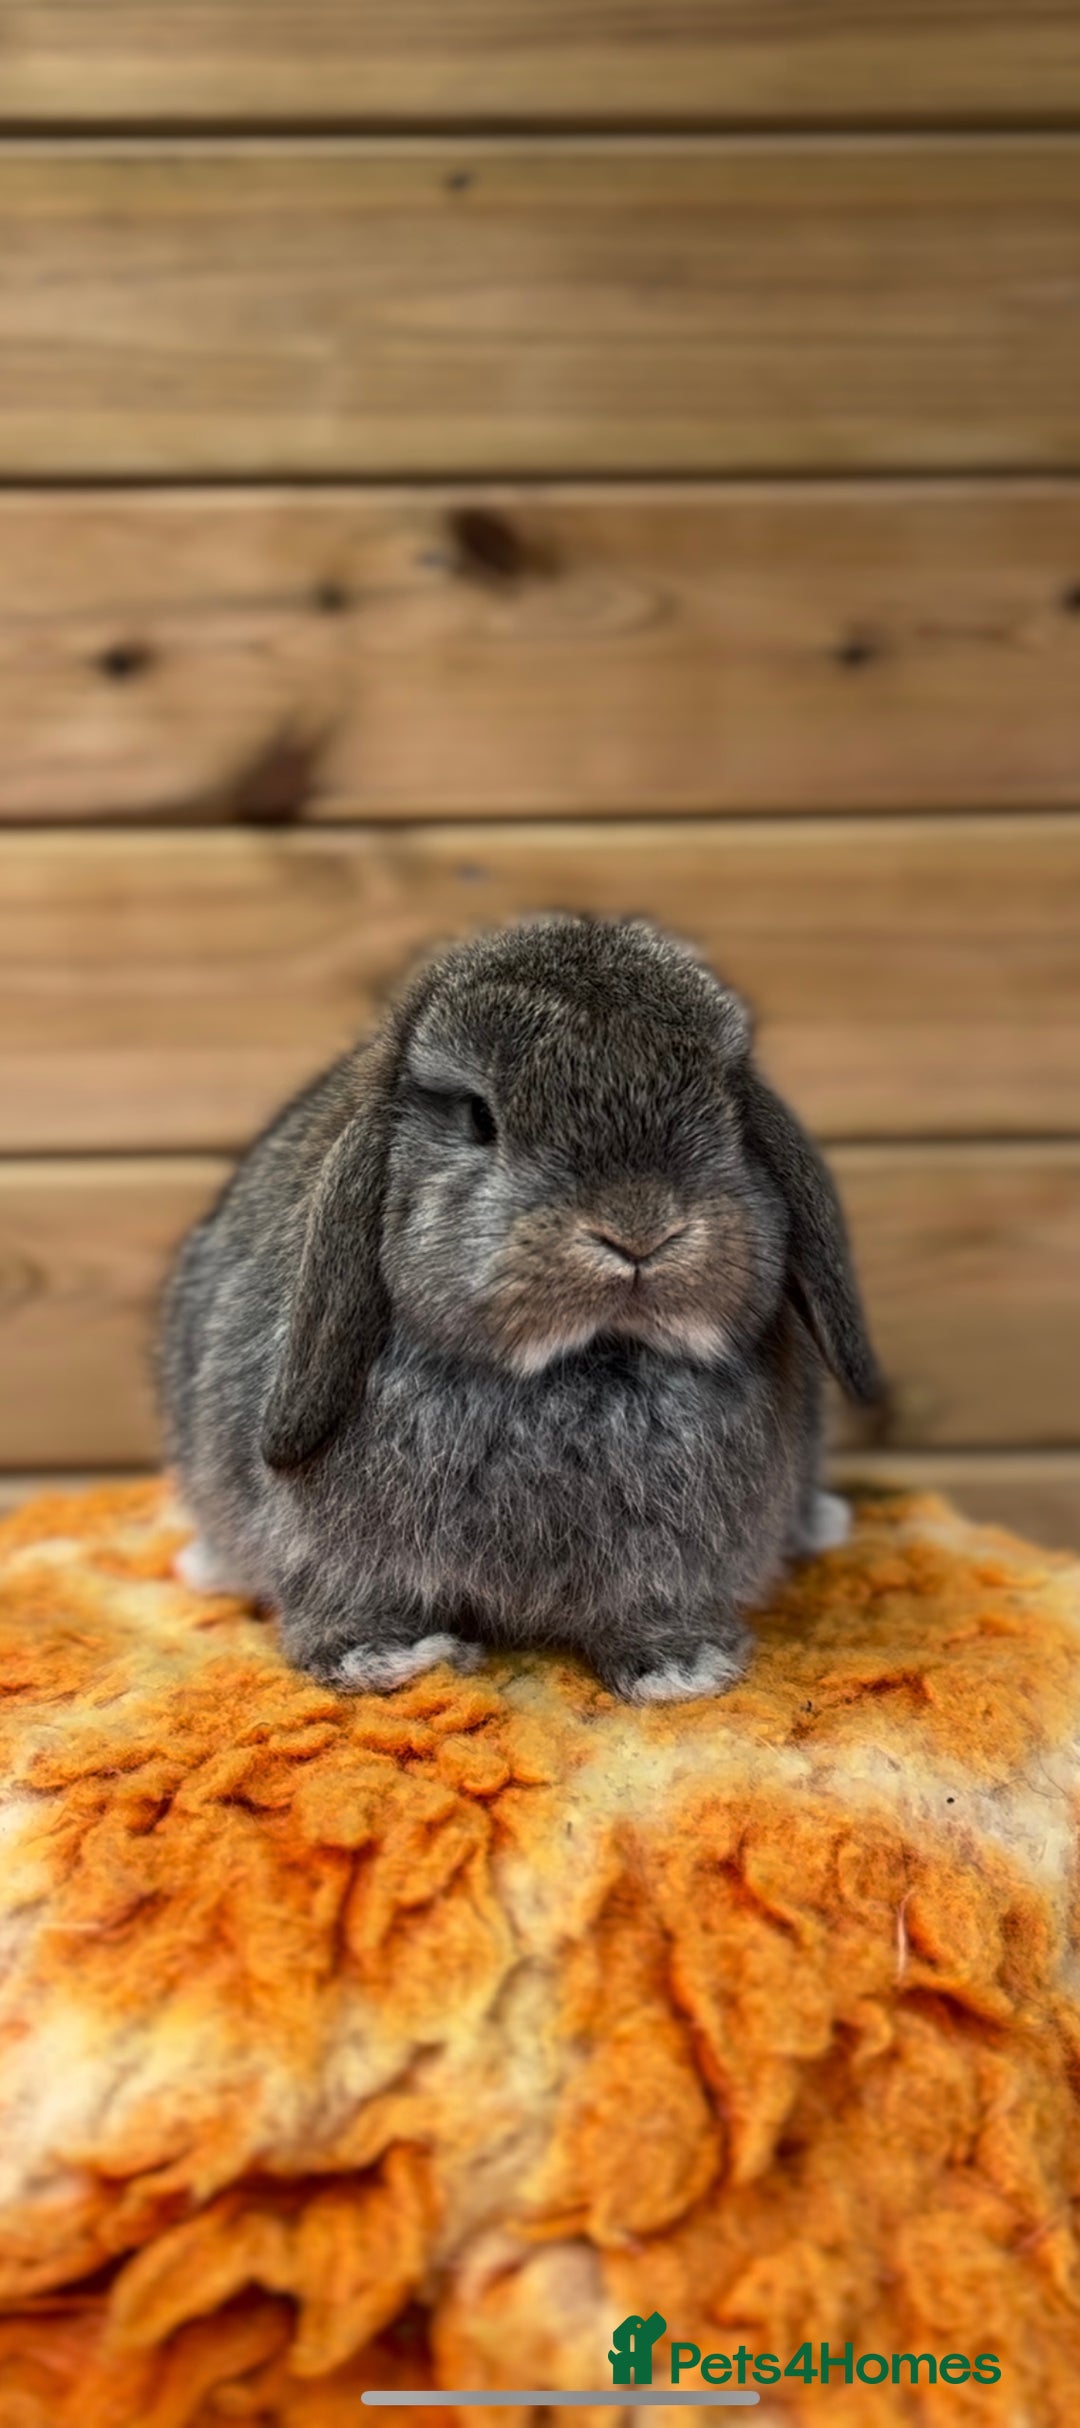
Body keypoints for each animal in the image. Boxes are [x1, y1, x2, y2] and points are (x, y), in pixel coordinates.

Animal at [159, 915, 880, 1702]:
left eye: (726, 1108)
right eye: (480, 1117)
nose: (638, 1228)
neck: (579, 1364)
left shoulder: (675, 1566)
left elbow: (656, 1611)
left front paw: (680, 1668)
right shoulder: (337, 1557)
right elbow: (346, 1603)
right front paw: (381, 1659)